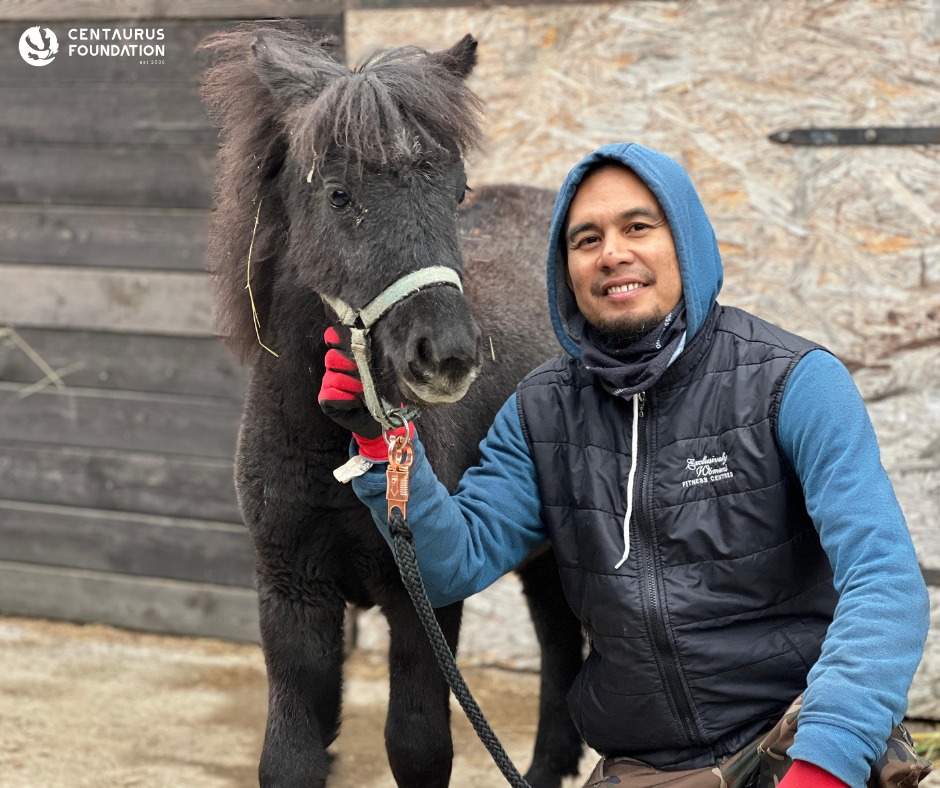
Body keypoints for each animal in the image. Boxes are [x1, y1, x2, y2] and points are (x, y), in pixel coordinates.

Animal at [200, 21, 584, 787]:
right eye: (339, 195)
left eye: (457, 192)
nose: (448, 354)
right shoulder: (293, 599)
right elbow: (290, 757)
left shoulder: (425, 602)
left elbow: (418, 745)